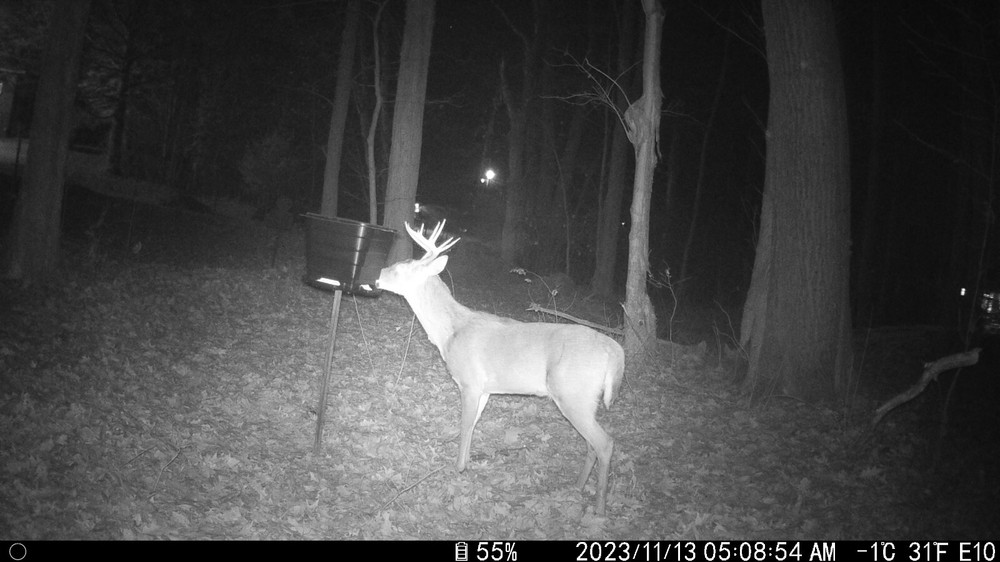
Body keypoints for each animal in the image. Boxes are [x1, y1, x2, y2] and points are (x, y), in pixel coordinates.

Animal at [376, 221, 624, 515]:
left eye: (402, 269)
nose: (378, 277)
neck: (450, 333)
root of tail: (614, 351)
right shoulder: (485, 389)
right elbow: (473, 424)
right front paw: (466, 464)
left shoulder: (470, 382)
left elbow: (464, 424)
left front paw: (457, 469)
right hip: (584, 400)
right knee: (591, 444)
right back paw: (576, 487)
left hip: (573, 393)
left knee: (605, 443)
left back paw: (599, 508)